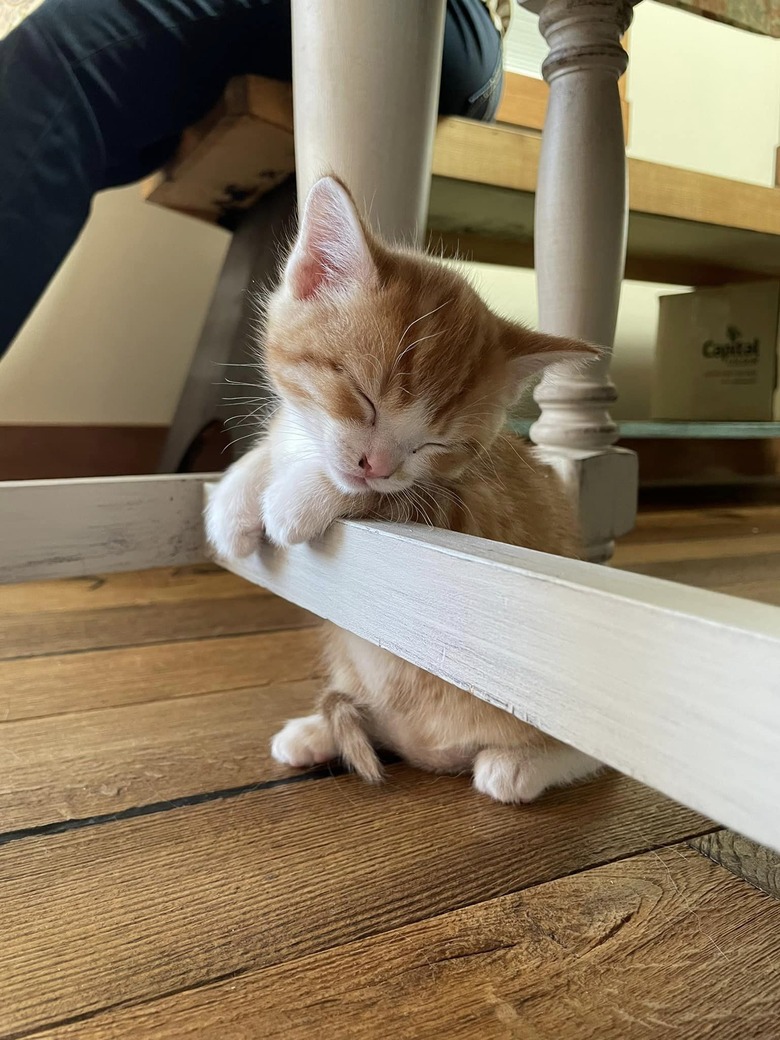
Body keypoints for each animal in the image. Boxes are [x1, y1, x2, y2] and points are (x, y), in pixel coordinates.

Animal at [208, 174, 603, 802]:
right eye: (362, 398)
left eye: (435, 444)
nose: (376, 463)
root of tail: (427, 750)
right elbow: (276, 443)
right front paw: (233, 500)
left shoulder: (479, 511)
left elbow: (403, 497)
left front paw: (299, 498)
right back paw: (318, 731)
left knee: (589, 757)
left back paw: (519, 765)